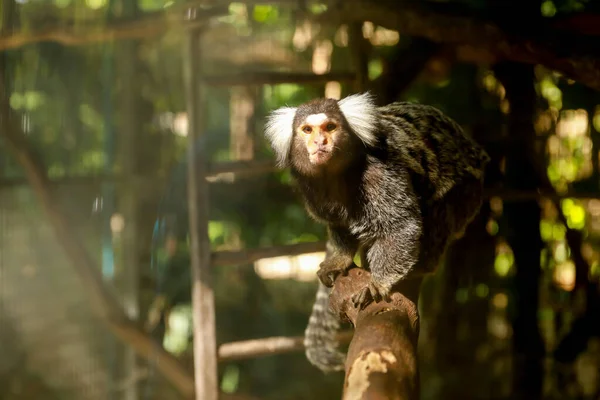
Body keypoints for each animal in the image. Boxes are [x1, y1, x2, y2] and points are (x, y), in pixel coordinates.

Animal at [264, 93, 490, 372]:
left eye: (330, 127)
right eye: (307, 130)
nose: (320, 142)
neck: (336, 176)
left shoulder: (381, 173)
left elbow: (401, 225)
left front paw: (377, 283)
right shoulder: (312, 190)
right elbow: (339, 227)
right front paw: (340, 259)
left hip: (467, 191)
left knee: (438, 211)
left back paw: (422, 265)